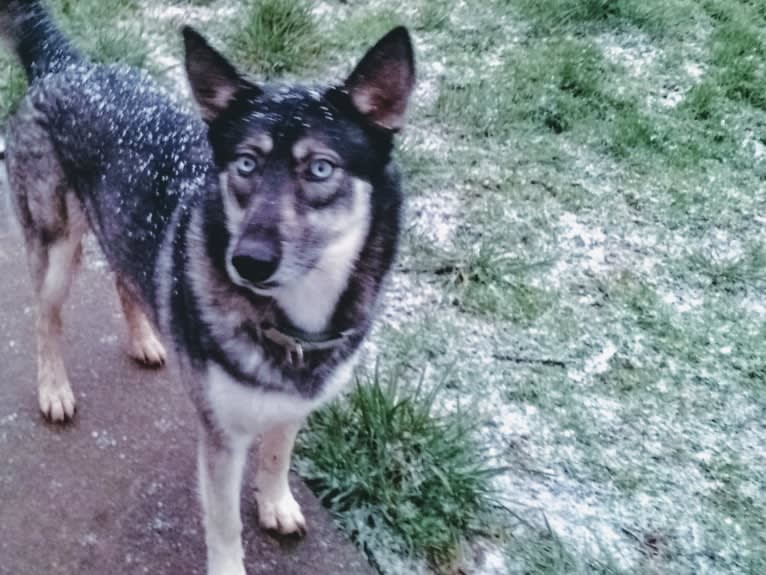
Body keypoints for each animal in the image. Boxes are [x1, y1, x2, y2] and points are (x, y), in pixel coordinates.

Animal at [0, 2, 416, 572]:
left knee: (128, 277)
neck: (295, 318)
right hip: (57, 246)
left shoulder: (294, 405)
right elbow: (224, 525)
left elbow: (277, 456)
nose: (247, 261)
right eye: (245, 163)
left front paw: (276, 501)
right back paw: (54, 388)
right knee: (47, 317)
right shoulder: (221, 438)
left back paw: (144, 339)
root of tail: (68, 64)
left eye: (320, 168)